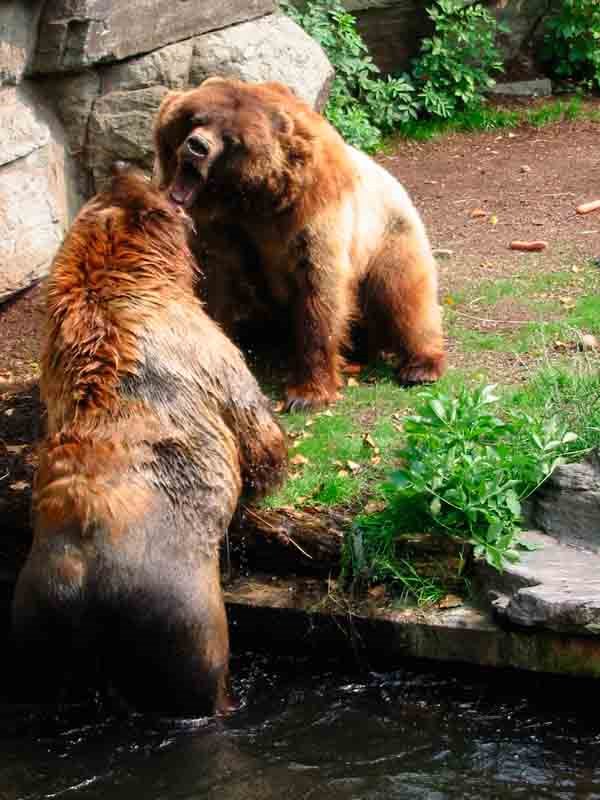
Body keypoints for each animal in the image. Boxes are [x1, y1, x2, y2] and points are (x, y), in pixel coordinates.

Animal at [11, 162, 288, 712]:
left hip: (36, 622)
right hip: (179, 614)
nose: (131, 165)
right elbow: (248, 414)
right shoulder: (199, 345)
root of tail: (82, 583)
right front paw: (278, 458)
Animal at [155, 76, 446, 412]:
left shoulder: (314, 218)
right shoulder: (222, 232)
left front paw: (306, 393)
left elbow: (319, 294)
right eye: (196, 118)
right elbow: (213, 285)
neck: (254, 201)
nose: (197, 146)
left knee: (403, 296)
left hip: (389, 237)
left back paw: (421, 365)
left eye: (232, 140)